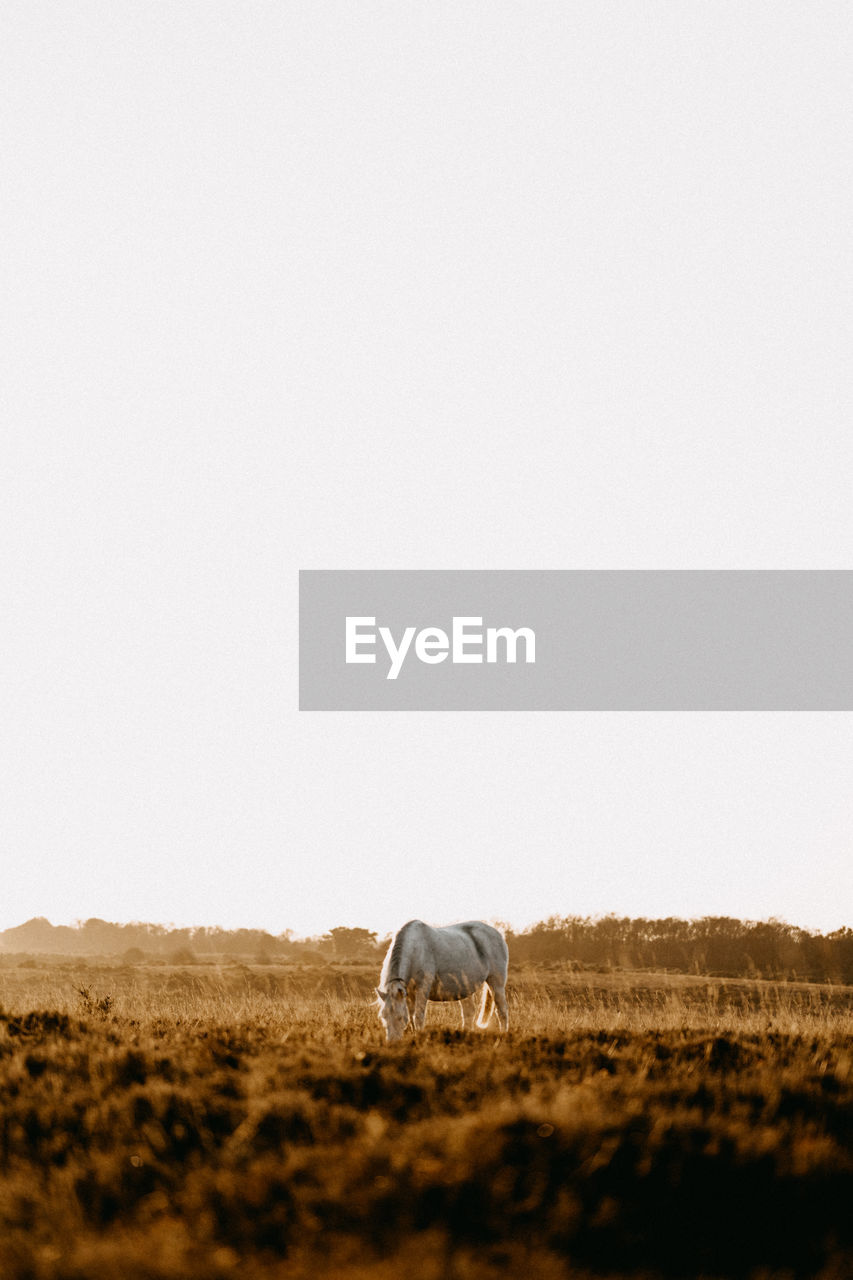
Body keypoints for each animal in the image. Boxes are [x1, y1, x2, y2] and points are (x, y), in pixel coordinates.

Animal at [371, 916, 504, 1044]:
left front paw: (419, 1037)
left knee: (502, 1012)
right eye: (383, 1016)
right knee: (469, 1013)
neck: (415, 949)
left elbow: (418, 1017)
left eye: (399, 1017)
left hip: (497, 983)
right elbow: (412, 1017)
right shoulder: (409, 994)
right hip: (465, 988)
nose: (392, 1042)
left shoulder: (422, 989)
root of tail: (497, 933)